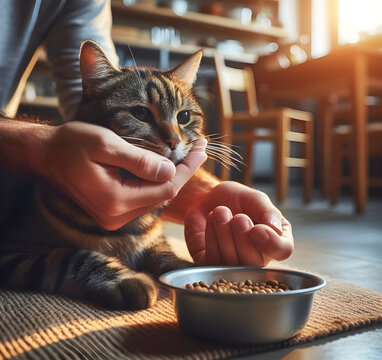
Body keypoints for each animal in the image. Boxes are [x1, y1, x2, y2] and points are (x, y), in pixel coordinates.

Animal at [0, 40, 209, 310]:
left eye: (183, 117)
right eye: (140, 114)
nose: (174, 141)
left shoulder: (155, 241)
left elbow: (166, 254)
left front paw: (186, 270)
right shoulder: (13, 250)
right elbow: (71, 255)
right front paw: (127, 280)